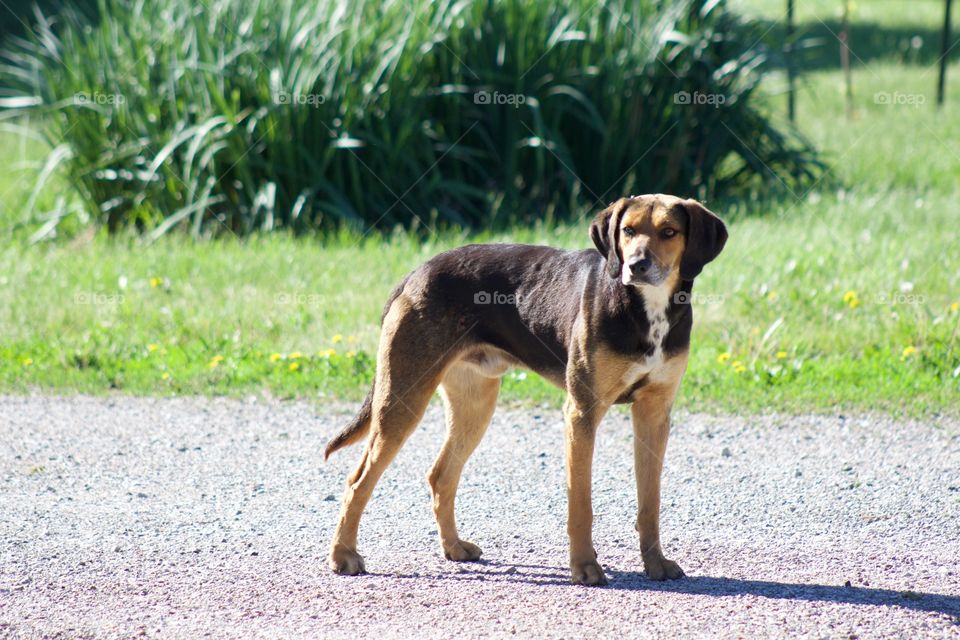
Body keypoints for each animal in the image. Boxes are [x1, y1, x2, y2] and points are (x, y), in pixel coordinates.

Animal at [322, 194, 728, 584]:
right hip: (402, 398)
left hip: (474, 404)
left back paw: (453, 547)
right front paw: (584, 567)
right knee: (358, 481)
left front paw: (655, 563)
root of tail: (415, 272)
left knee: (441, 476)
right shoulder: (581, 411)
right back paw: (344, 556)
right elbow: (581, 504)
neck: (647, 309)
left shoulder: (654, 413)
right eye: (627, 231)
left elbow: (650, 502)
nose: (637, 265)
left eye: (669, 232)